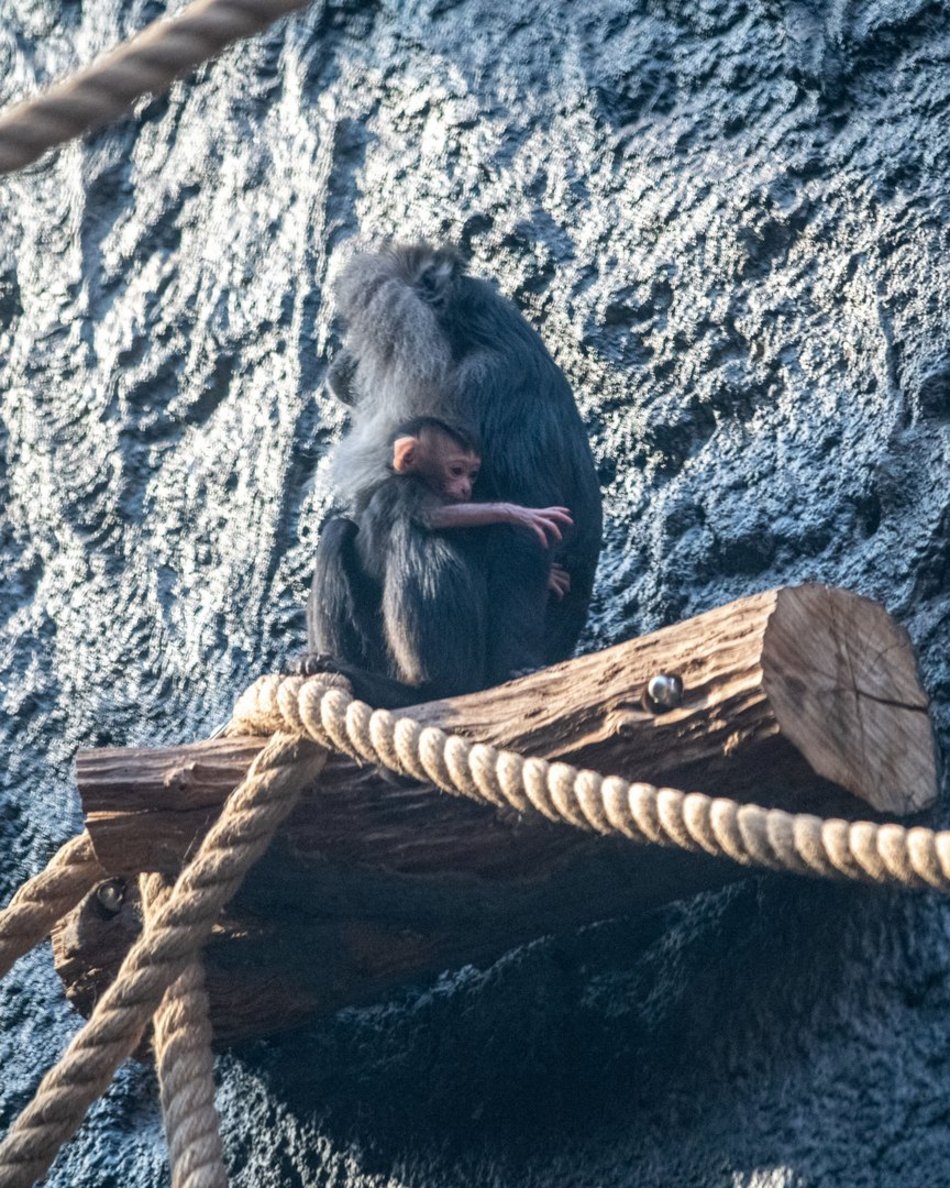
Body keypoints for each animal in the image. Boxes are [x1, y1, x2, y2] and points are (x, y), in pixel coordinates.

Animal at [299, 241, 600, 703]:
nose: (341, 361)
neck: (473, 336)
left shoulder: (478, 386)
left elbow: (522, 523)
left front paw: (517, 665)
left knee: (416, 528)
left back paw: (428, 689)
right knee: (338, 531)